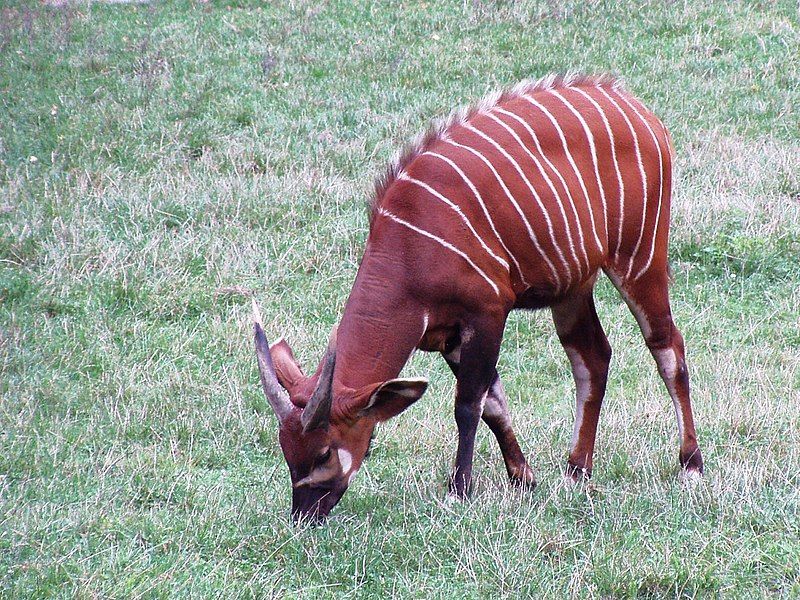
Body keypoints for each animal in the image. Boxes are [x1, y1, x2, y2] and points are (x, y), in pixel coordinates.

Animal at [253, 74, 704, 524]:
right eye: (286, 452)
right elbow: (494, 403)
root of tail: (642, 113)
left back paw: (691, 465)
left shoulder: (487, 312)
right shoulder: (446, 336)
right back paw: (576, 470)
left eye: (324, 452)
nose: (304, 514)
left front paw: (460, 490)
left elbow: (469, 403)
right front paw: (523, 479)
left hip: (640, 258)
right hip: (573, 286)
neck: (407, 249)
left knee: (668, 348)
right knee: (592, 357)